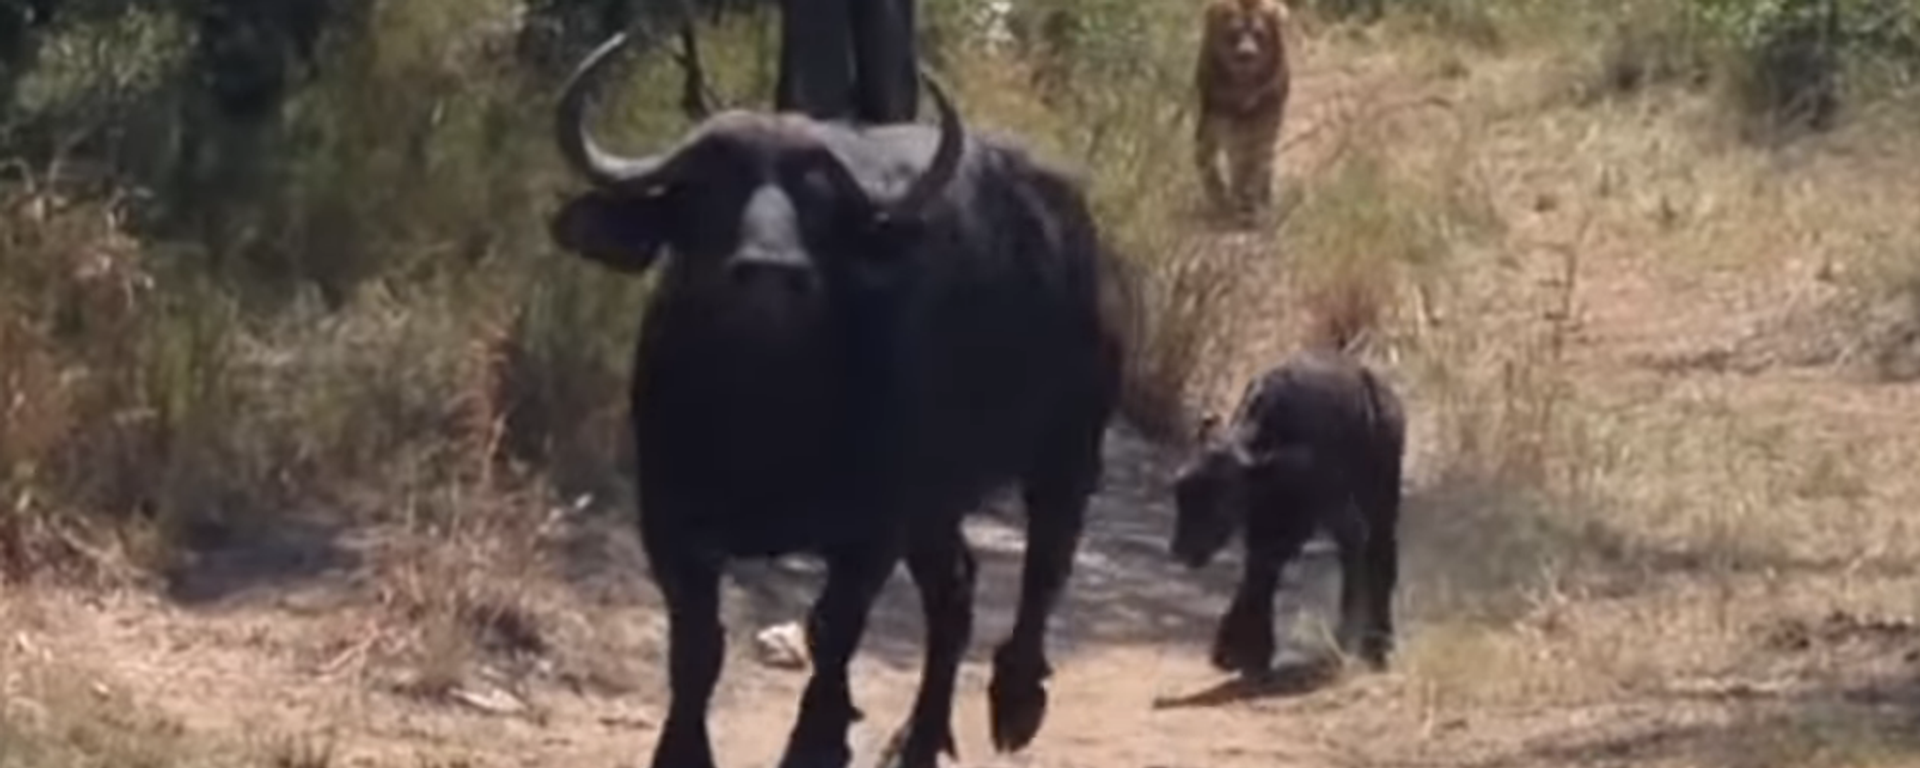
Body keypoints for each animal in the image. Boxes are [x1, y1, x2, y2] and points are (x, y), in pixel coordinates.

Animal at [546, 28, 1125, 768]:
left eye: (817, 201)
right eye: (706, 188)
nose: (770, 272)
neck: (766, 407)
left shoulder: (870, 527)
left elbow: (832, 631)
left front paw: (818, 741)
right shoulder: (670, 518)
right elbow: (697, 646)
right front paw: (682, 749)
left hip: (1068, 447)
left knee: (1045, 564)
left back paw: (1016, 700)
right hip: (936, 501)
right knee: (954, 592)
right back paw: (919, 737)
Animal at [1169, 347, 1406, 673]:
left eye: (1219, 499)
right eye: (1180, 490)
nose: (1181, 550)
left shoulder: (1327, 511)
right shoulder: (1267, 512)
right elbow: (1260, 564)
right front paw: (1242, 649)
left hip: (1383, 494)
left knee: (1380, 552)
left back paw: (1375, 643)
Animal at [1193, 0, 1293, 220]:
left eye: (1259, 35)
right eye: (1234, 34)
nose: (1247, 54)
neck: (1243, 87)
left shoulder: (1265, 118)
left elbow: (1256, 160)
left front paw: (1251, 201)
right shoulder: (1218, 116)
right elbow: (1222, 160)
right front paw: (1226, 198)